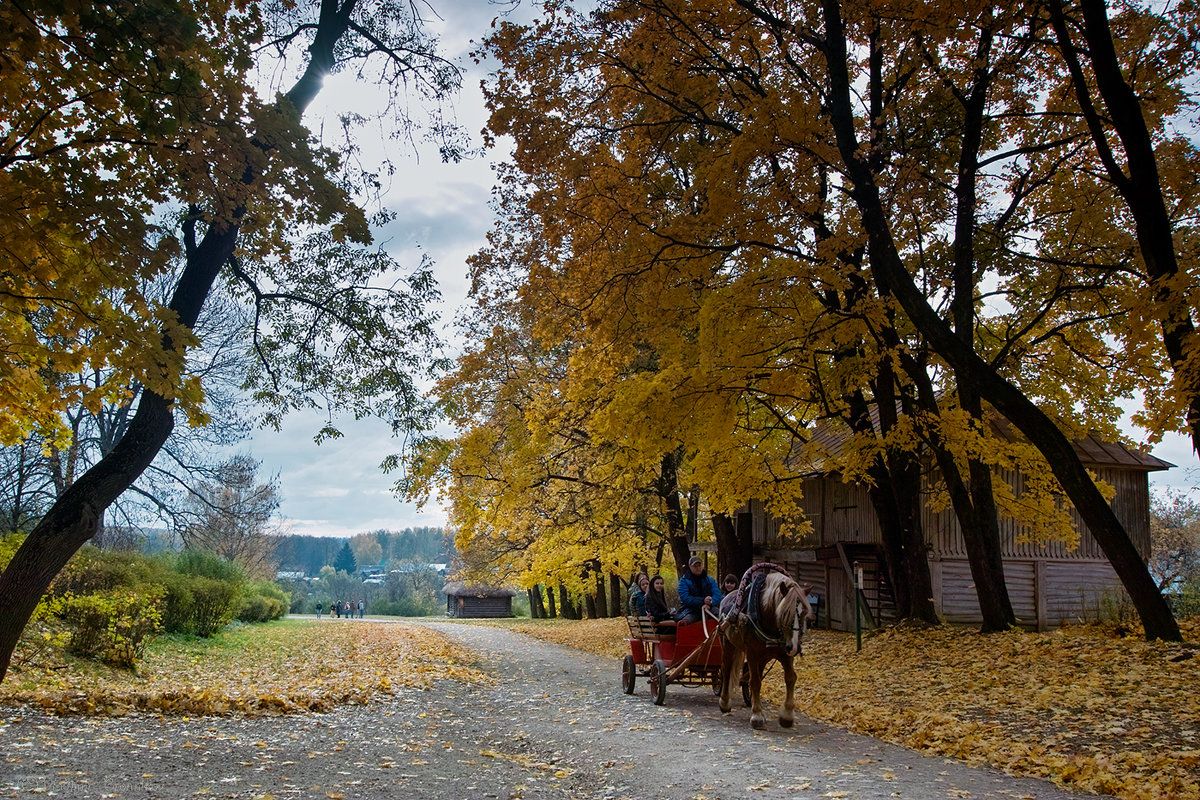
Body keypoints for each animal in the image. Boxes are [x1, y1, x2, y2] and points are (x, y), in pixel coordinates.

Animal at [720, 566, 816, 729]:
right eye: (784, 613)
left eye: (804, 613)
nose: (795, 648)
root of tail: (726, 597)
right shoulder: (752, 652)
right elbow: (755, 681)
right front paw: (757, 715)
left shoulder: (785, 653)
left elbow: (790, 678)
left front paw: (787, 715)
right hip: (728, 644)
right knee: (727, 670)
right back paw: (725, 702)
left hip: (764, 656)